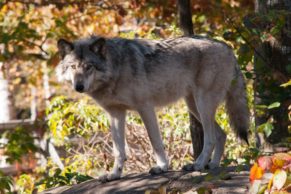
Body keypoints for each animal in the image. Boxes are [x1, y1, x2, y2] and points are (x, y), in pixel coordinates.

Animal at [57, 35, 251, 182]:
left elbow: (155, 141)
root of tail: (227, 47)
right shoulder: (115, 113)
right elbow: (118, 149)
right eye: (73, 67)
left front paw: (162, 167)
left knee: (210, 137)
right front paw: (114, 174)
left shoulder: (145, 107)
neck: (116, 68)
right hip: (193, 106)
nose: (78, 86)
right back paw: (212, 165)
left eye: (89, 67)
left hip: (202, 104)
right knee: (222, 134)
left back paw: (198, 164)